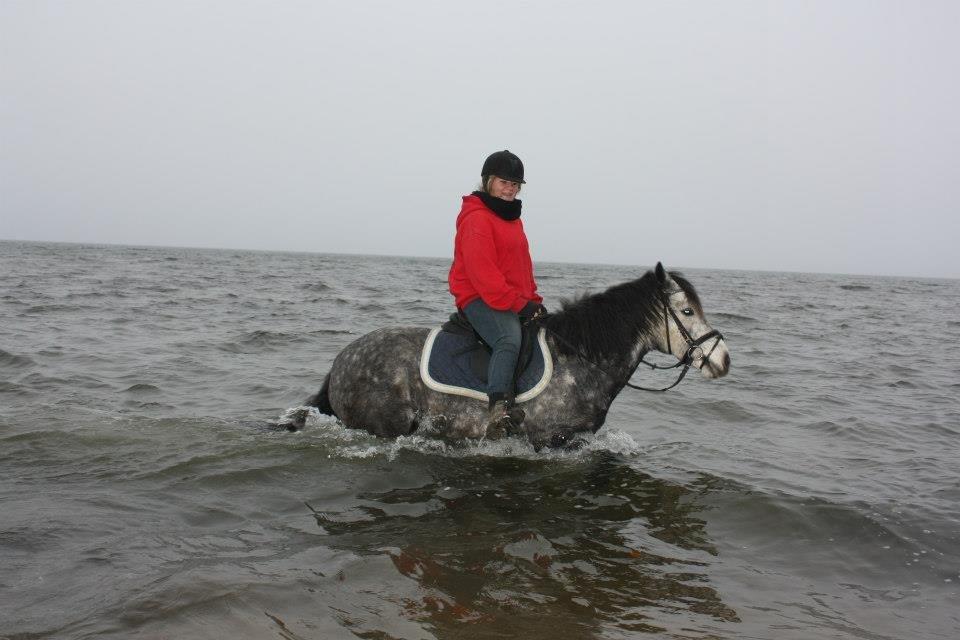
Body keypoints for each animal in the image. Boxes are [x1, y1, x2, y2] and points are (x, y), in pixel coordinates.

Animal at [304, 262, 732, 448]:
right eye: (687, 311)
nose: (723, 358)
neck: (580, 359)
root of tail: (340, 361)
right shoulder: (552, 440)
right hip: (381, 427)